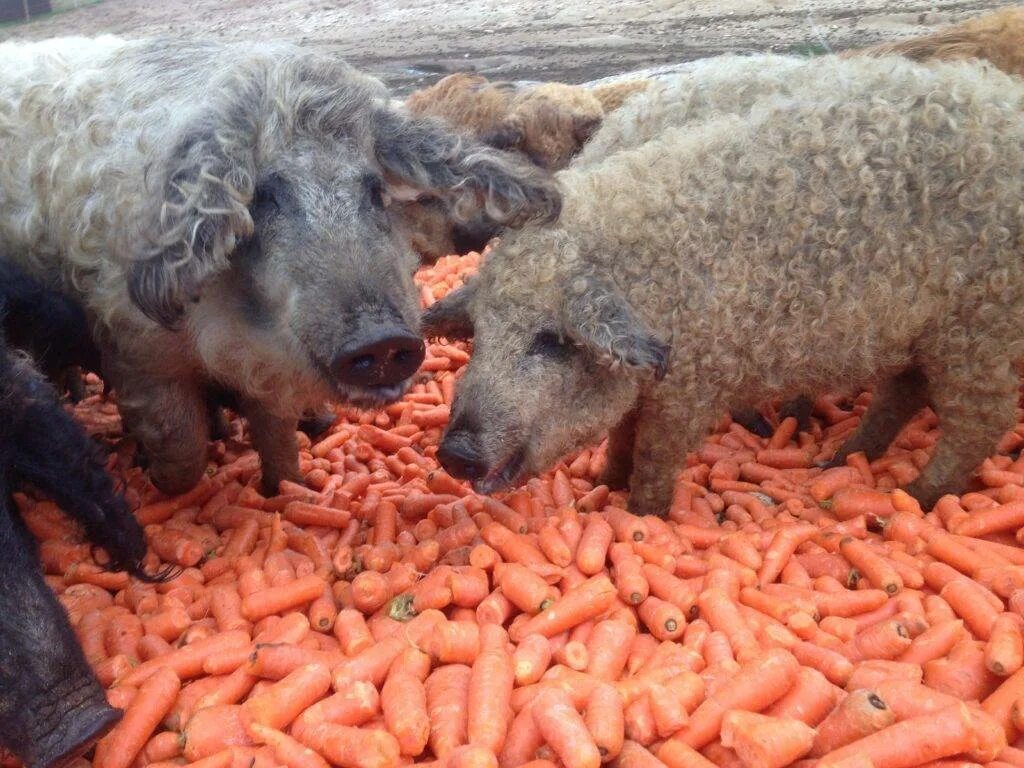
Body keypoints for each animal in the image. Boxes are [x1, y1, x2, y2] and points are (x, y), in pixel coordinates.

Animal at [421, 55, 1024, 518]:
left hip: (983, 328)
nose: (455, 453)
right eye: (480, 333)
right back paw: (838, 461)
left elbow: (656, 454)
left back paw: (915, 497)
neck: (653, 281)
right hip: (924, 330)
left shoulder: (696, 383)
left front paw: (641, 513)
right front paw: (605, 484)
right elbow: (622, 434)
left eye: (550, 341)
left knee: (978, 420)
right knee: (906, 392)